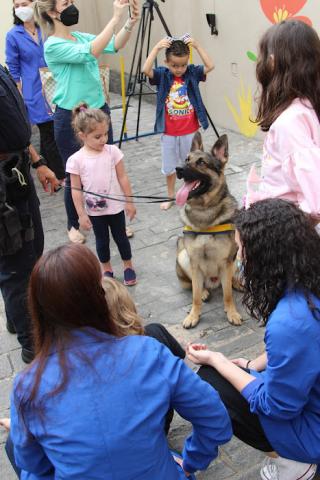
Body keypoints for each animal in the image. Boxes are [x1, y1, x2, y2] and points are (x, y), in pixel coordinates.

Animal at [175, 131, 242, 328]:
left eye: (201, 163)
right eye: (186, 159)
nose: (178, 169)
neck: (204, 211)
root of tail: (213, 281)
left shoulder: (226, 261)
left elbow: (227, 295)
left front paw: (231, 312)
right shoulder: (195, 261)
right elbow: (195, 296)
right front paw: (193, 316)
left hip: (236, 256)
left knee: (229, 280)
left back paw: (236, 283)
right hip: (183, 257)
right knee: (194, 285)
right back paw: (205, 291)